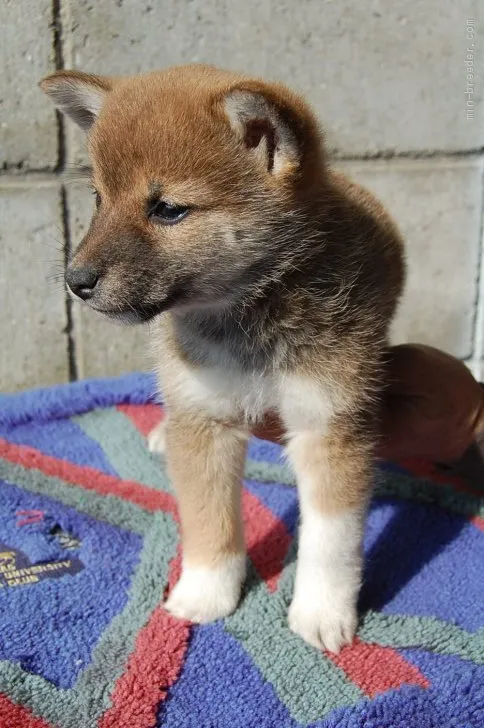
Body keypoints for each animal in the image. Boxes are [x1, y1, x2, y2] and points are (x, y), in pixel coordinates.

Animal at [40, 64, 404, 656]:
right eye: (98, 198)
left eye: (167, 209)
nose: (76, 282)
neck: (248, 316)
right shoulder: (204, 419)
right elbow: (210, 522)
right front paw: (205, 594)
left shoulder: (330, 425)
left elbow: (331, 540)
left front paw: (322, 611)